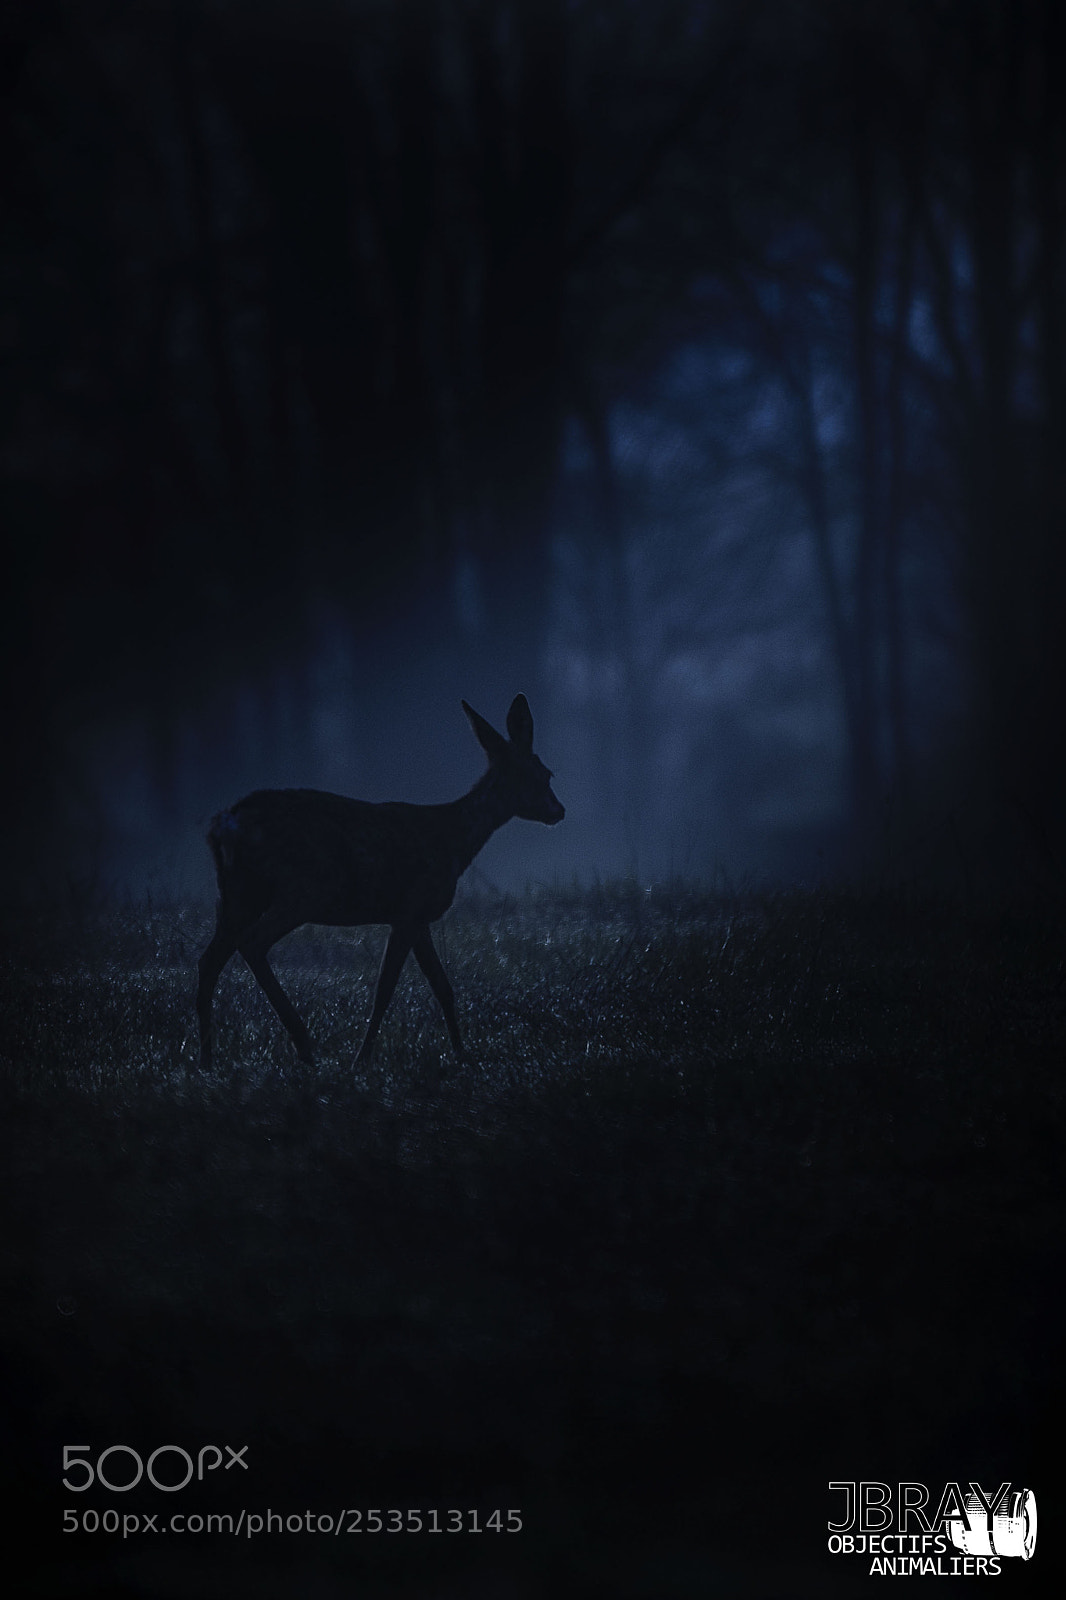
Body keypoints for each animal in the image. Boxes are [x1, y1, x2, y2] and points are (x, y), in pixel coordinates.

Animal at [196, 694, 564, 1070]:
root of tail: (223, 824)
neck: (453, 840)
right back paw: (303, 1044)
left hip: (236, 895)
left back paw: (208, 1058)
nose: (559, 810)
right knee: (252, 943)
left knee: (208, 962)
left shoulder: (419, 918)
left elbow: (443, 986)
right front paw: (360, 1060)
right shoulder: (408, 910)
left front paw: (461, 1053)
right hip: (300, 890)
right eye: (541, 774)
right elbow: (384, 990)